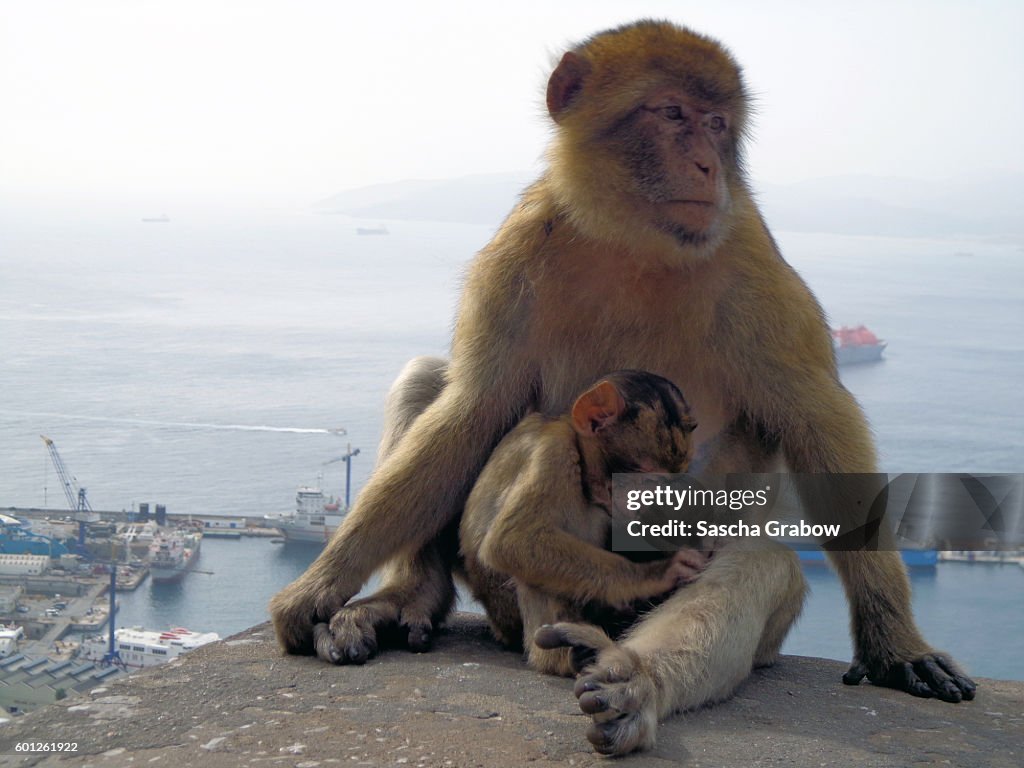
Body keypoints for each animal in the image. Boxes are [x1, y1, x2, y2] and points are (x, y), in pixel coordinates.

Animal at [272, 19, 974, 757]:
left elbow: (820, 425)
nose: (709, 166)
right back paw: (411, 599)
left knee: (757, 562)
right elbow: (472, 409)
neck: (634, 240)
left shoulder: (751, 260)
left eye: (717, 123)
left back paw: (632, 684)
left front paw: (894, 643)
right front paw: (318, 590)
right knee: (430, 382)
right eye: (671, 114)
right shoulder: (518, 250)